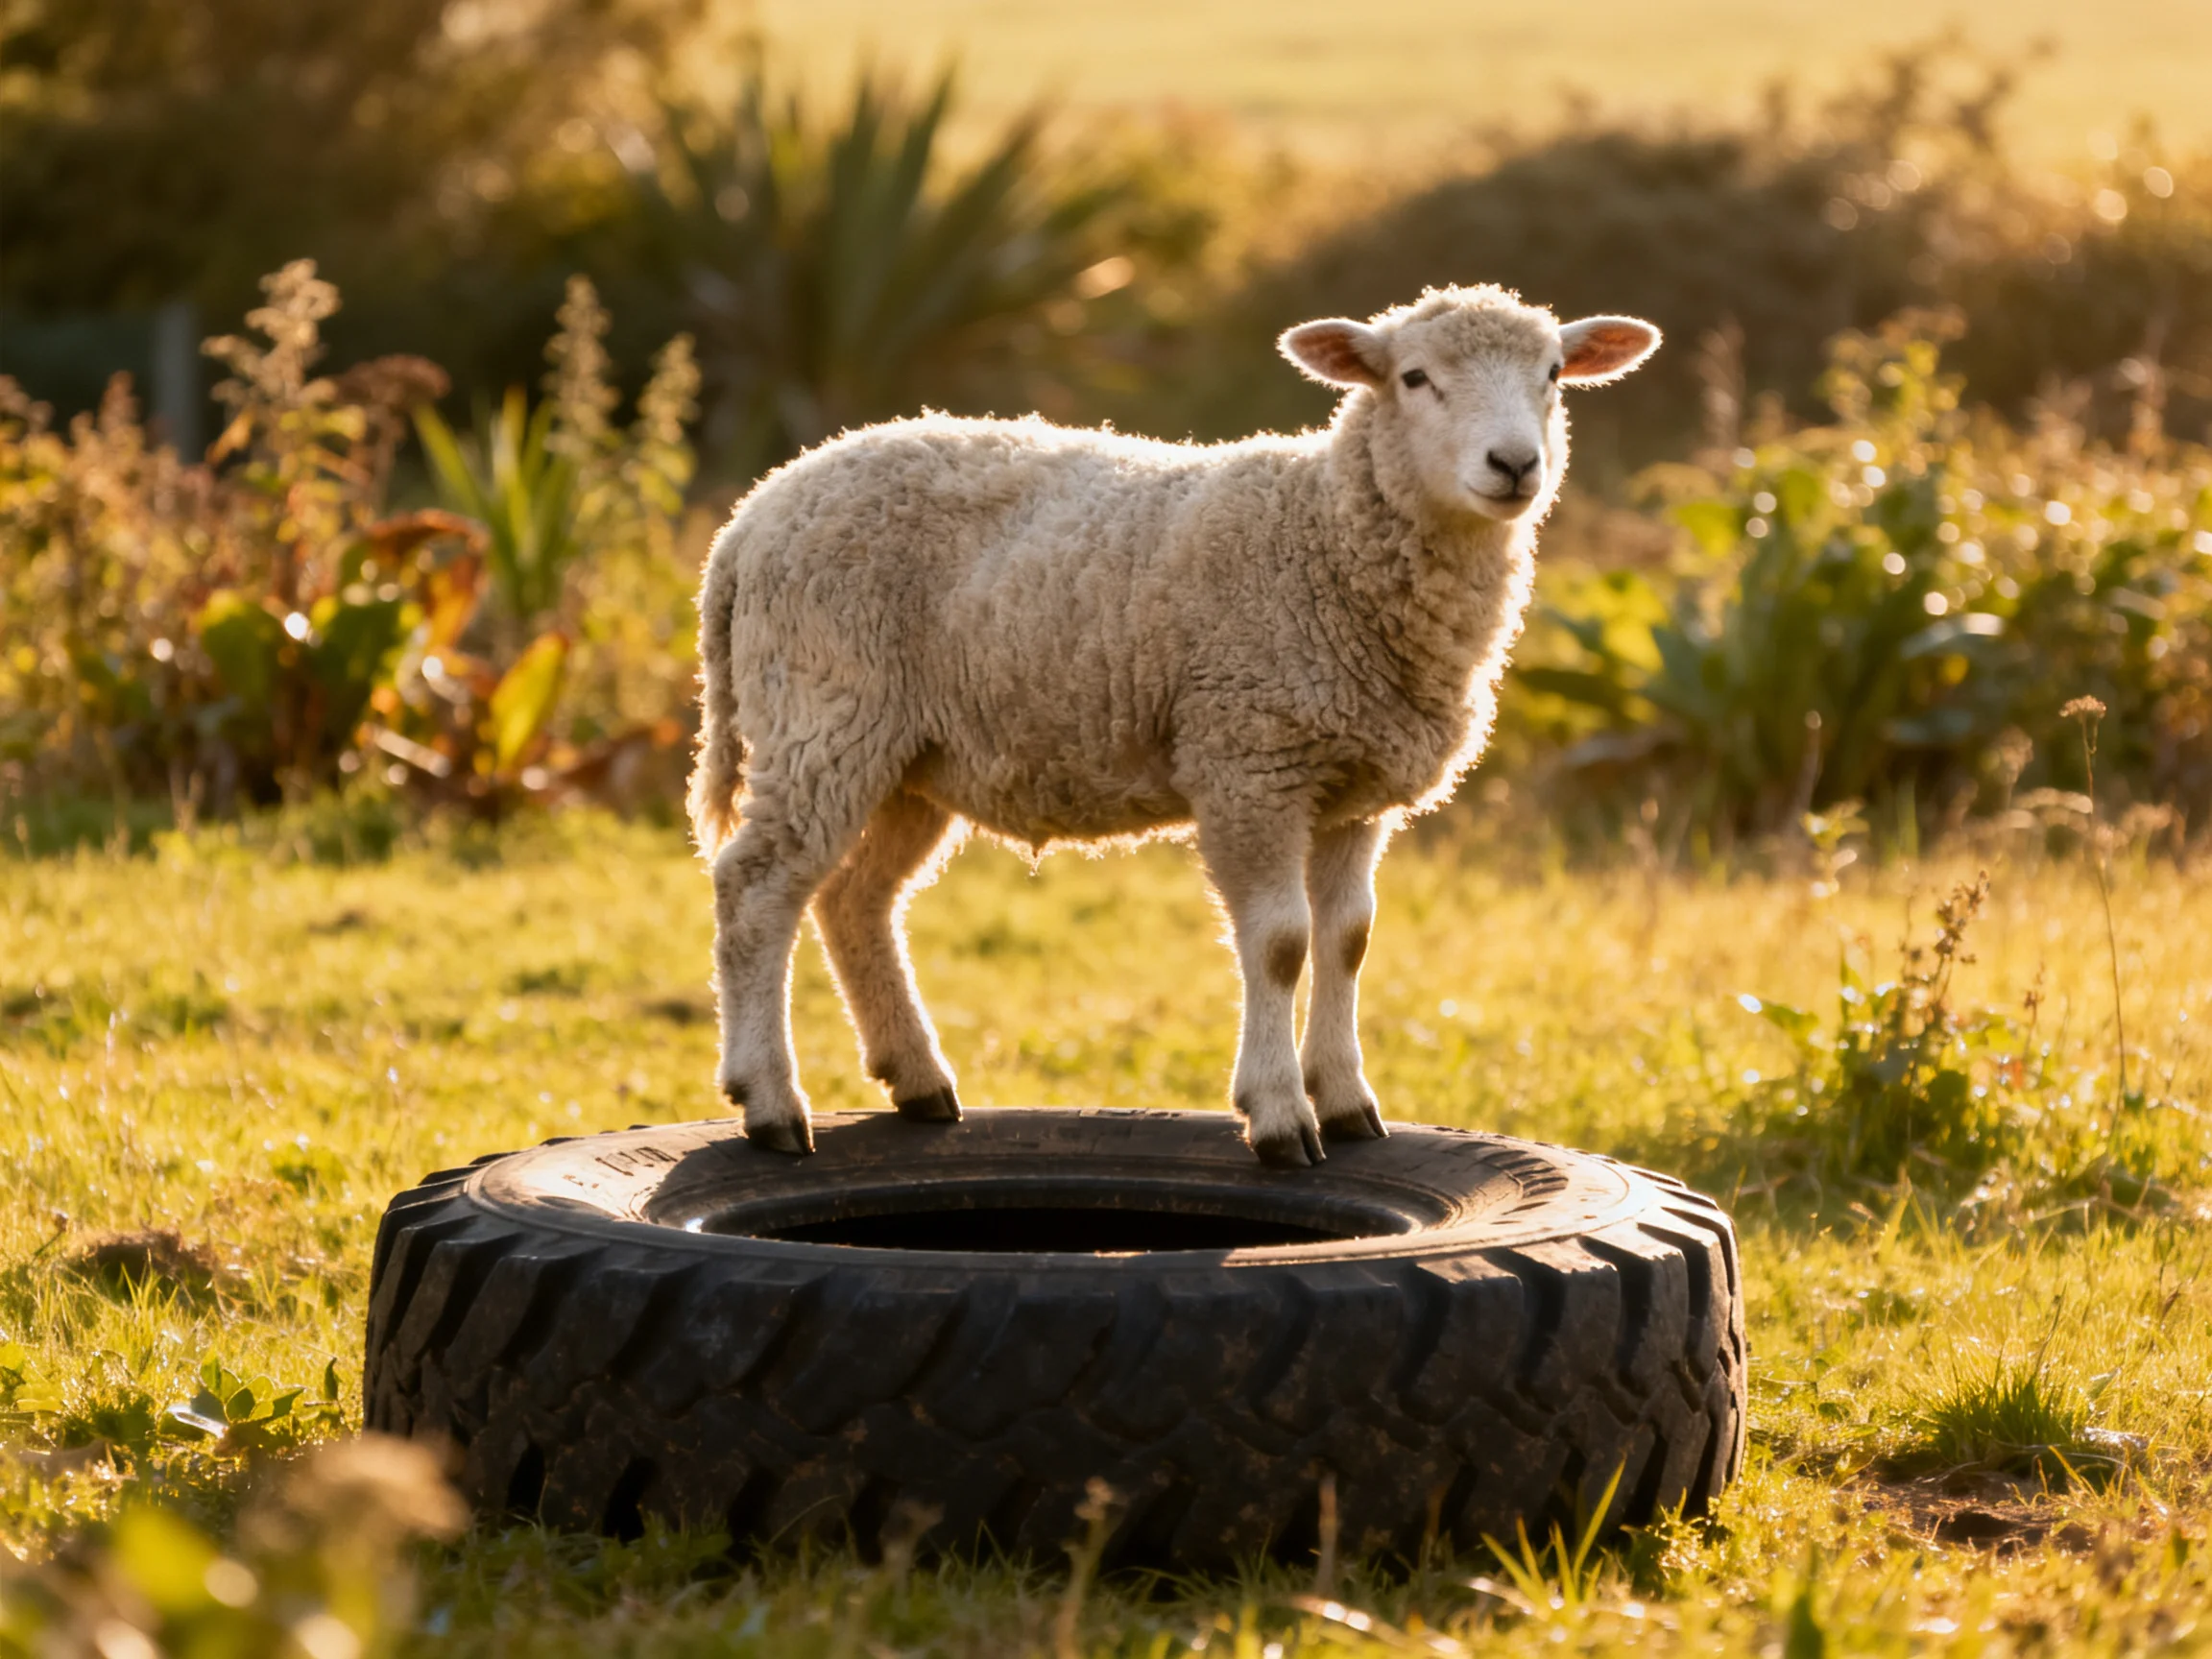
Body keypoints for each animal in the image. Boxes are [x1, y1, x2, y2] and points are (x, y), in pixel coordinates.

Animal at [689, 284, 1659, 1166]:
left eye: (1554, 373)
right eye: (1415, 378)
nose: (1515, 464)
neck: (1323, 534)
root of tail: (753, 515)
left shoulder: (1352, 789)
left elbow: (1347, 940)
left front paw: (1348, 1102)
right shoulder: (1248, 761)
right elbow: (1281, 943)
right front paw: (1281, 1117)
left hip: (907, 756)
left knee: (854, 899)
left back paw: (918, 1079)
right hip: (823, 711)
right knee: (756, 889)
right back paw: (770, 1102)